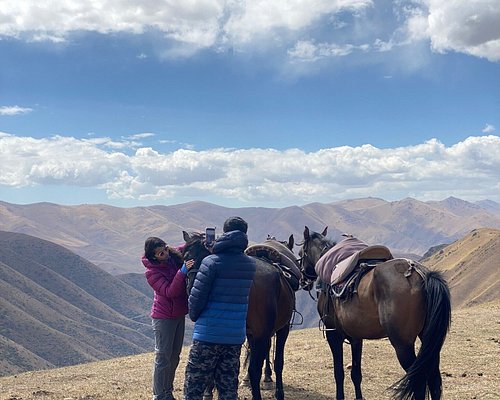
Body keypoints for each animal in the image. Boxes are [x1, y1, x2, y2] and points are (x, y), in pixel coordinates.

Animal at [296, 227, 454, 398]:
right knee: (434, 380)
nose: (302, 280)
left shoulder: (334, 335)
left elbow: (338, 373)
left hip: (403, 345)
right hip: (429, 342)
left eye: (300, 253)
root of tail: (421, 273)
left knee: (419, 384)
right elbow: (356, 374)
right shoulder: (356, 337)